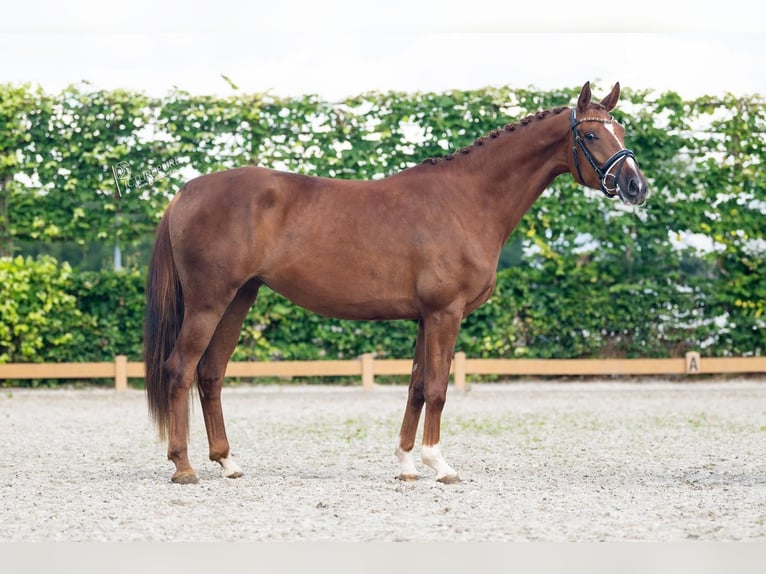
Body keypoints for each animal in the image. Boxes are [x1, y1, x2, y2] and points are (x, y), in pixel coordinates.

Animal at [142, 82, 648, 486]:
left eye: (621, 131)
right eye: (590, 134)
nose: (636, 187)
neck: (468, 200)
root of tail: (185, 192)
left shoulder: (426, 317)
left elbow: (417, 387)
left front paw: (406, 465)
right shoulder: (445, 313)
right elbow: (439, 389)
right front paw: (439, 465)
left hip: (239, 298)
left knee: (210, 374)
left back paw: (227, 463)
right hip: (209, 302)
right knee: (180, 369)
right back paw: (183, 467)